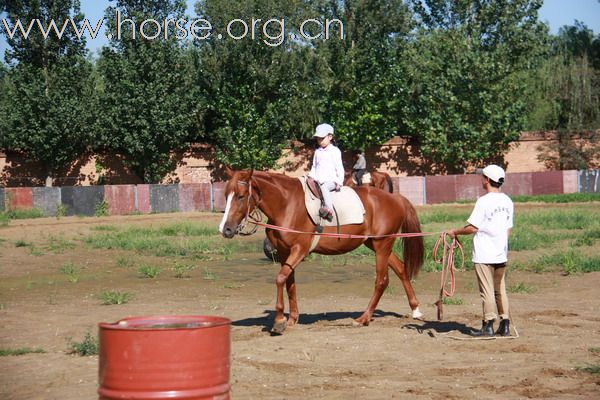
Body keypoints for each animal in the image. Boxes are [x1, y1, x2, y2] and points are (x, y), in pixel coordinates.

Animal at [218, 169, 424, 334]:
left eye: (241, 196)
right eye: (227, 195)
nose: (225, 229)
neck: (287, 205)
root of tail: (395, 198)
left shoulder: (300, 250)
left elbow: (280, 279)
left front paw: (279, 321)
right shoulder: (285, 253)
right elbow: (290, 283)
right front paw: (292, 319)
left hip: (382, 245)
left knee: (382, 280)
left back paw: (363, 318)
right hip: (374, 244)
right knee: (401, 268)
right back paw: (415, 309)